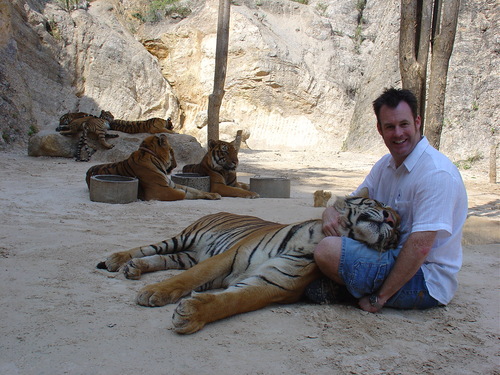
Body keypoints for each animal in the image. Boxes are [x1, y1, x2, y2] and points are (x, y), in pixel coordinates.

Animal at [85, 134, 221, 201]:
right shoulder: (162, 191)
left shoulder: (172, 185)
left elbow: (195, 190)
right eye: (172, 151)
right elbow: (185, 193)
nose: (177, 165)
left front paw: (214, 195)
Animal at [97, 191, 400, 334]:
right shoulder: (227, 257)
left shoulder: (274, 282)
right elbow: (188, 279)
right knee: (148, 248)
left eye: (398, 230)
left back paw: (135, 269)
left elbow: (233, 301)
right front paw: (154, 292)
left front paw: (192, 314)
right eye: (379, 203)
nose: (390, 219)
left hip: (186, 255)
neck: (316, 239)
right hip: (184, 238)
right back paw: (117, 260)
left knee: (161, 258)